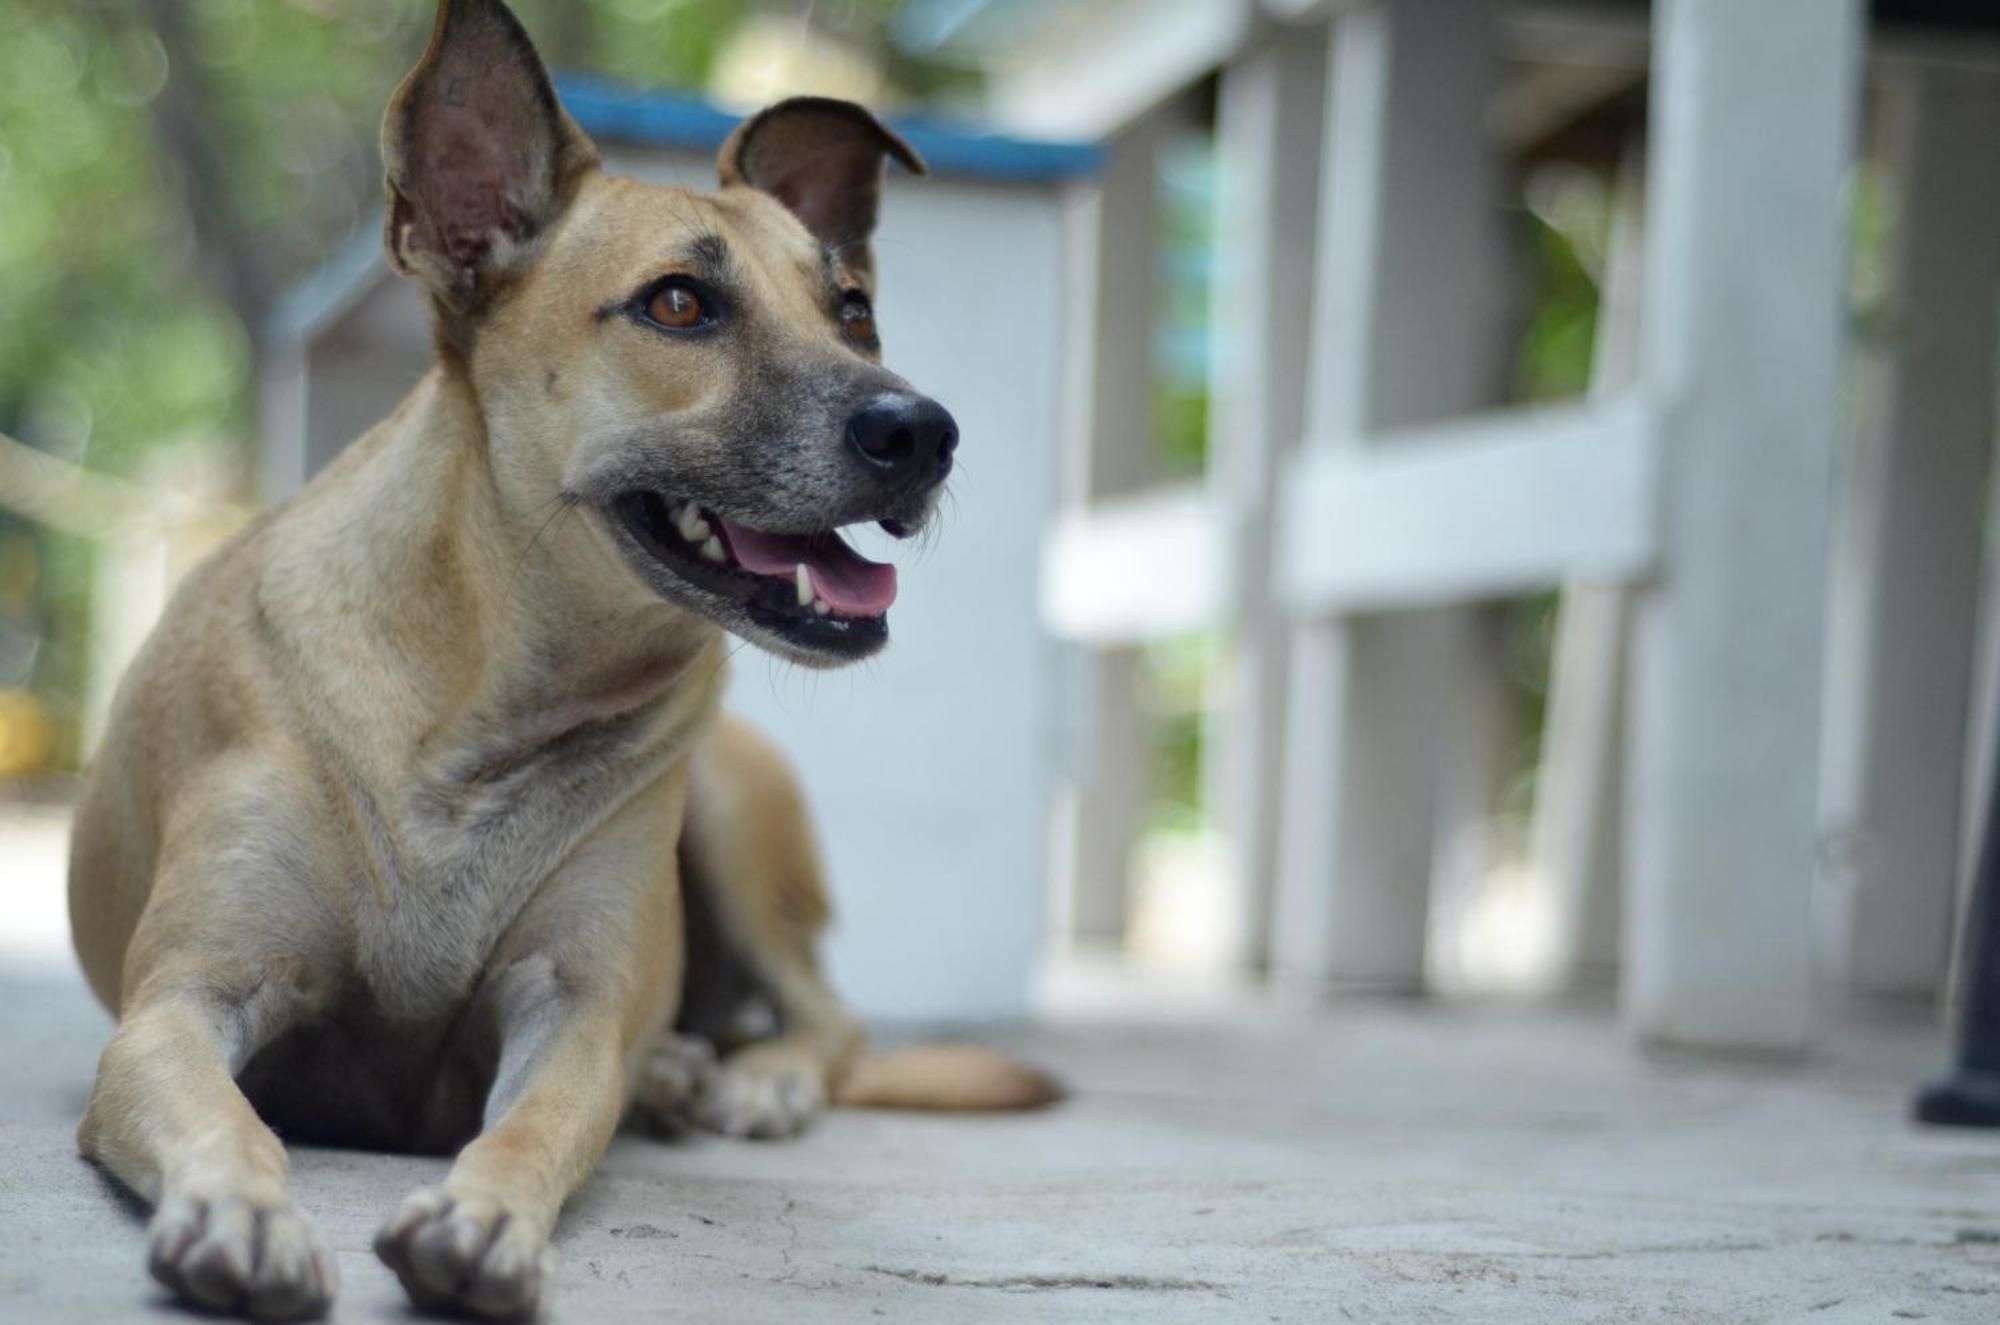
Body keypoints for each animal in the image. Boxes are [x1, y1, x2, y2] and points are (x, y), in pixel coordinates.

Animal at [68, 5, 1056, 1320]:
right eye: (679, 304)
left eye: (852, 311)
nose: (923, 430)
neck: (487, 701)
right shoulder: (178, 1005)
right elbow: (230, 1119)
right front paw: (240, 1210)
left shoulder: (574, 1014)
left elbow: (534, 1127)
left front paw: (482, 1221)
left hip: (731, 800)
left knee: (830, 1015)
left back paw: (748, 1076)